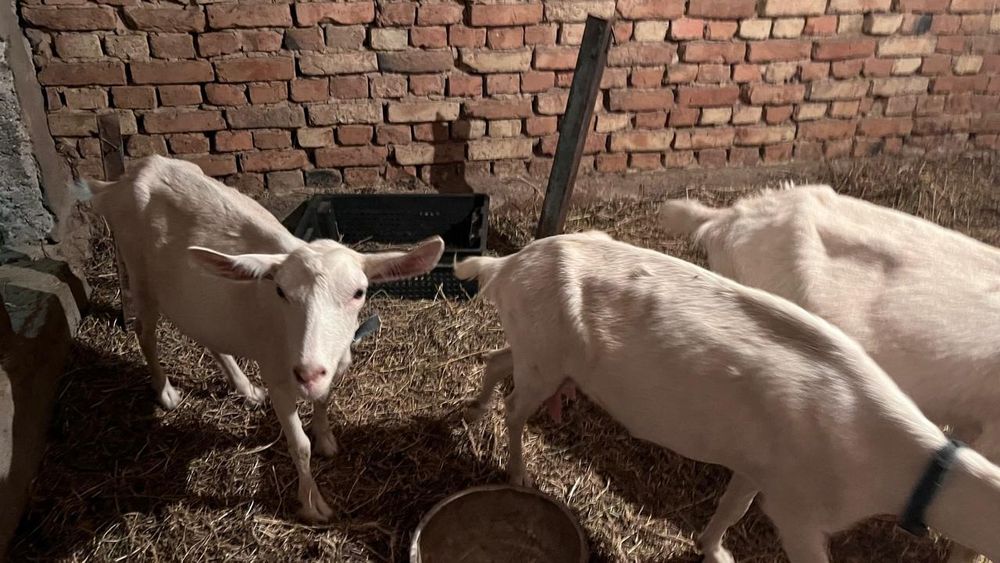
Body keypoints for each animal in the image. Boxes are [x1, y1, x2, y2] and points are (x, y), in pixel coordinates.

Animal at [78, 155, 443, 521]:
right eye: (280, 291)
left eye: (359, 292)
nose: (307, 373)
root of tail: (122, 182)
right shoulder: (278, 376)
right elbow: (299, 445)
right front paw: (312, 503)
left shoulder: (333, 366)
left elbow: (324, 401)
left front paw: (326, 440)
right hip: (137, 272)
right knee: (145, 331)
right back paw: (166, 391)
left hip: (200, 302)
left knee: (208, 334)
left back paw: (246, 389)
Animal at [455, 231, 1000, 563]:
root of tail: (506, 262)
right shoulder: (799, 509)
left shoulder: (760, 467)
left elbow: (733, 508)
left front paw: (714, 549)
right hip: (544, 356)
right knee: (515, 408)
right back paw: (518, 473)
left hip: (539, 350)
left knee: (497, 359)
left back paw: (476, 409)